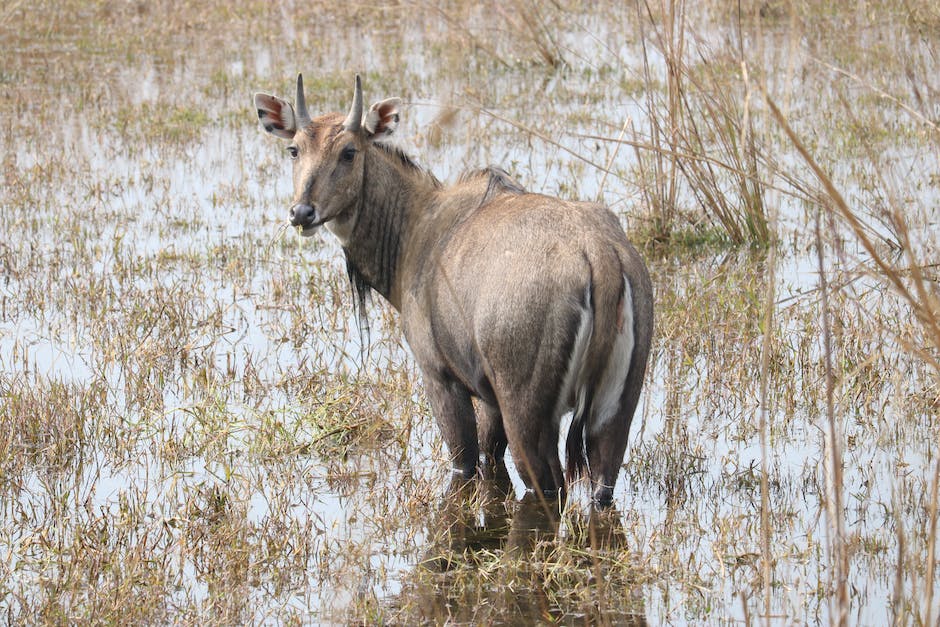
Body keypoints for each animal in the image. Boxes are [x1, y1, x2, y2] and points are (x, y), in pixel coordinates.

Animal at [255, 75, 652, 506]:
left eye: (349, 151)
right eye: (294, 148)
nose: (302, 212)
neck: (415, 228)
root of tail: (600, 253)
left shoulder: (441, 379)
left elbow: (464, 464)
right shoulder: (490, 400)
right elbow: (491, 457)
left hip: (527, 413)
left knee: (548, 488)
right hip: (614, 412)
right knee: (602, 487)